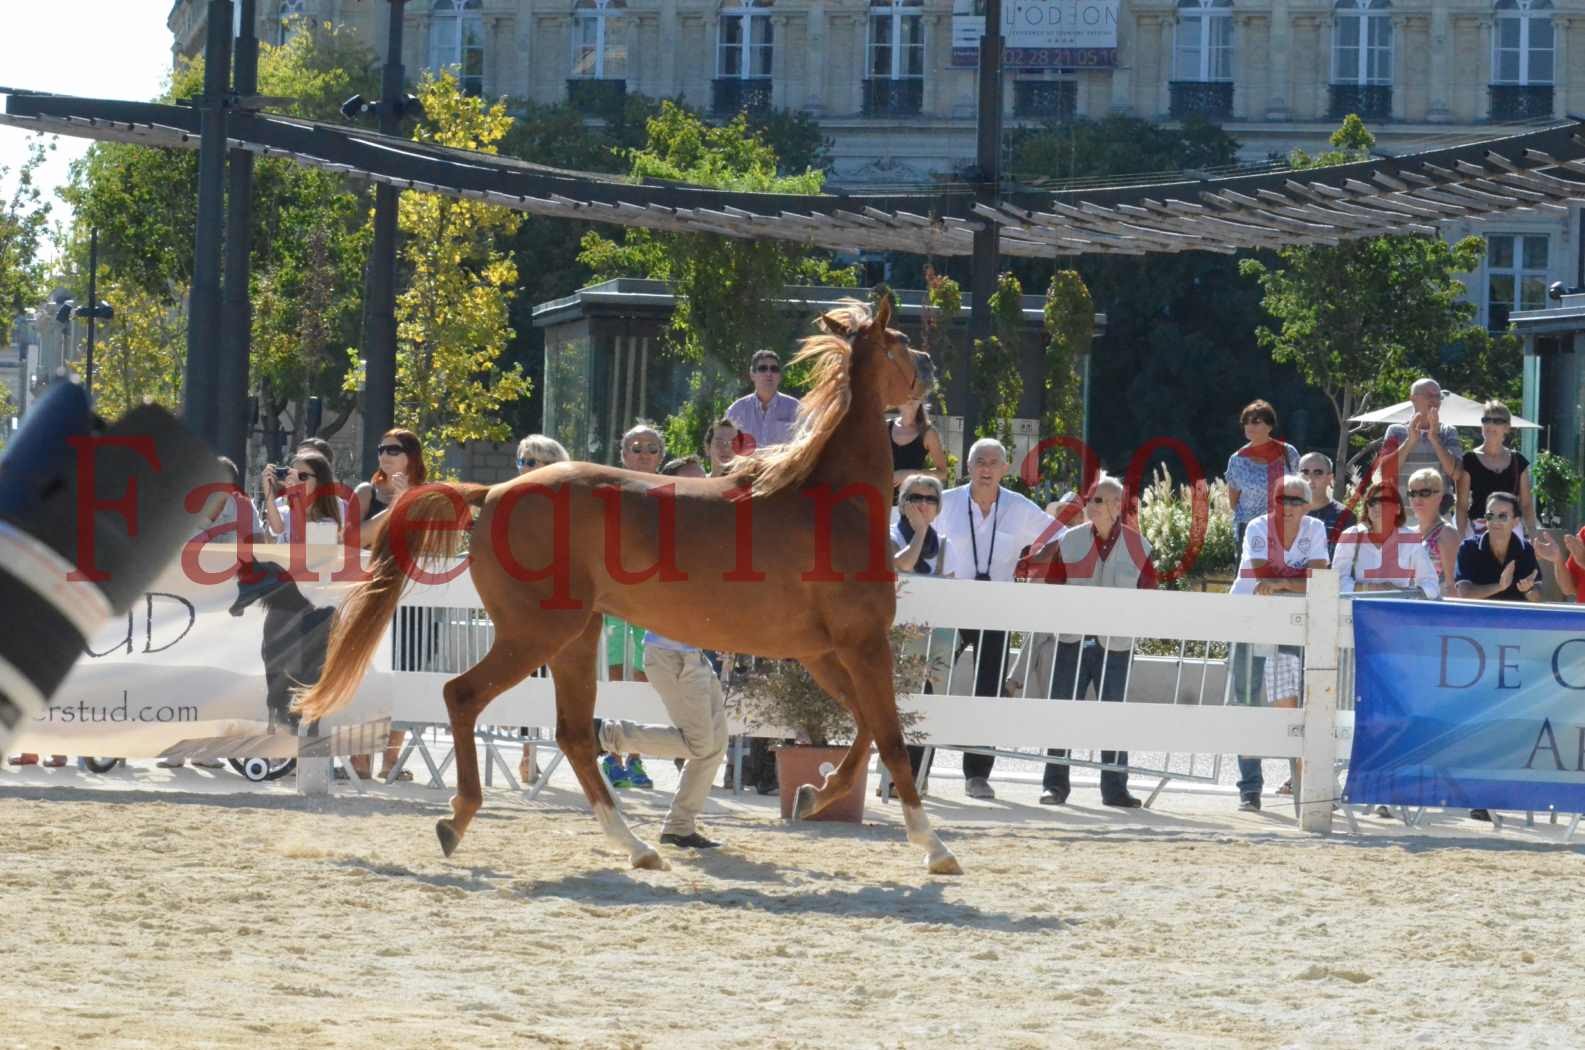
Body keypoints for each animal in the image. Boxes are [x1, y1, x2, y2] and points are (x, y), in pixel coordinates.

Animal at [297, 299, 963, 875]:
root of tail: (491, 495)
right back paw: (458, 821)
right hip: (538, 633)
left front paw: (814, 795)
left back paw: (636, 846)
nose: (932, 371)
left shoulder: (825, 652)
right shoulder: (860, 643)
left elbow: (865, 731)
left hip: (575, 636)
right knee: (464, 697)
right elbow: (891, 738)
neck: (828, 504)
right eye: (899, 343)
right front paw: (934, 848)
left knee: (573, 733)